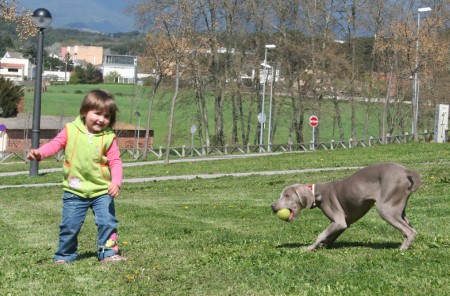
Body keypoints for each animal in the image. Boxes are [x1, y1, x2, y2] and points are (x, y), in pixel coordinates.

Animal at [270, 163, 422, 251]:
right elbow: (330, 236)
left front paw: (309, 248)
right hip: (398, 208)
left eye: (287, 196)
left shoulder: (339, 221)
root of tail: (405, 171)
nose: (272, 206)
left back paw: (402, 249)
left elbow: (321, 235)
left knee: (410, 231)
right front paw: (322, 246)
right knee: (409, 227)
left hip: (385, 208)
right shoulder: (343, 223)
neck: (317, 193)